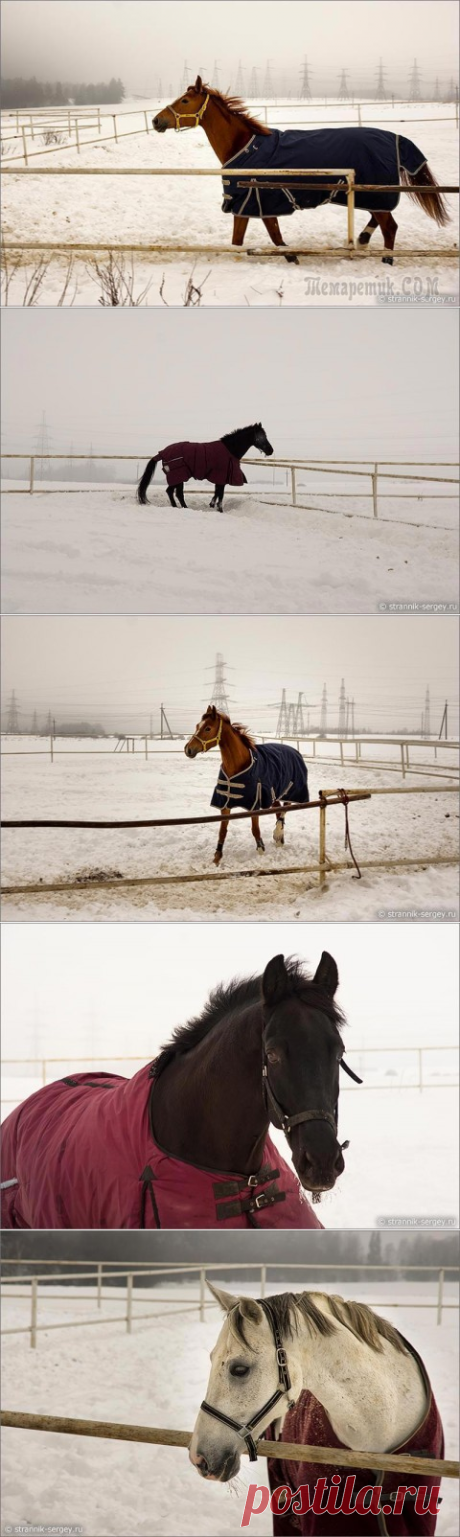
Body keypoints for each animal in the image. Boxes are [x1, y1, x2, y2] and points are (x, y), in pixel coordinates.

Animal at [137, 422, 273, 511]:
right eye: (261, 436)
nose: (270, 450)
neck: (230, 449)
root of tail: (161, 453)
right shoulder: (222, 475)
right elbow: (220, 493)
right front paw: (219, 509)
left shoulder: (220, 477)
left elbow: (217, 492)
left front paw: (212, 505)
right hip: (179, 476)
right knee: (178, 493)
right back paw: (184, 507)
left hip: (177, 477)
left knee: (170, 491)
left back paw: (176, 507)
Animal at [153, 77, 449, 264]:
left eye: (184, 101)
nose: (157, 121)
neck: (245, 148)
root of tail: (394, 137)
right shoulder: (254, 203)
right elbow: (258, 238)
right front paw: (290, 255)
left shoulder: (252, 201)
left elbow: (261, 238)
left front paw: (291, 256)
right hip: (370, 195)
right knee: (379, 219)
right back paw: (362, 239)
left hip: (374, 193)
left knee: (390, 227)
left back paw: (386, 259)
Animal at [185, 706, 310, 865]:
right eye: (197, 726)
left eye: (207, 728)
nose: (188, 749)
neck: (237, 765)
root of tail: (295, 751)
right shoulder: (225, 802)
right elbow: (222, 831)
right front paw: (217, 857)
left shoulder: (254, 804)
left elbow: (255, 829)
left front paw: (261, 851)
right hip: (274, 794)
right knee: (278, 810)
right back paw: (279, 839)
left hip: (292, 789)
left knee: (285, 807)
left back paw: (277, 834)